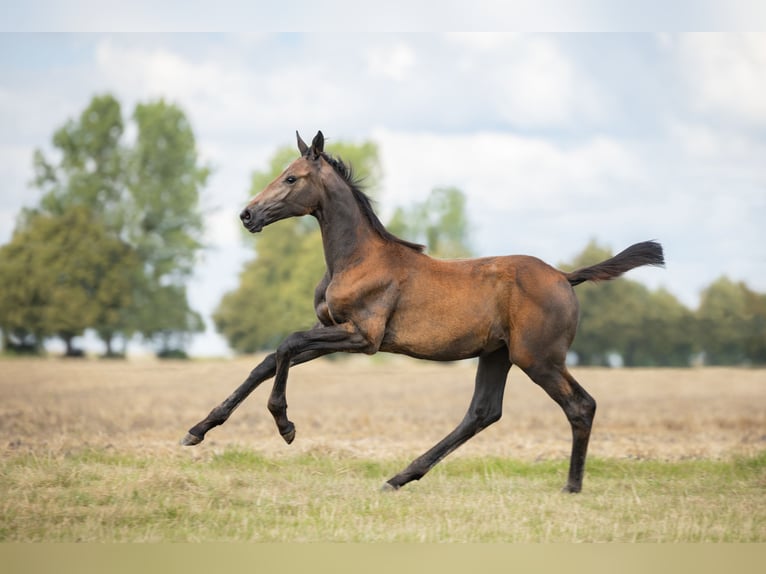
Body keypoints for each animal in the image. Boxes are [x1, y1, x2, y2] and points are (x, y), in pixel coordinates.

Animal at [182, 130, 664, 496]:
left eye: (291, 178)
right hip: (498, 354)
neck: (357, 258)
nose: (247, 215)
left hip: (539, 358)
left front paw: (285, 425)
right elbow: (268, 360)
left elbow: (286, 345)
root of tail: (565, 276)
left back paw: (571, 486)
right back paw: (400, 477)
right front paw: (198, 429)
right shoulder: (334, 331)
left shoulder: (363, 337)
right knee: (482, 412)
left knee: (581, 406)